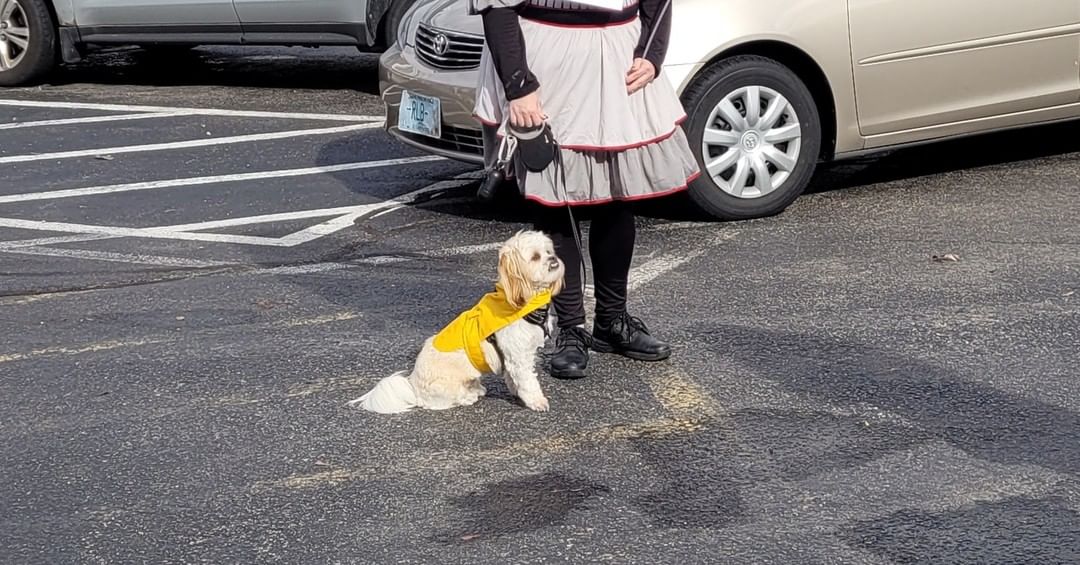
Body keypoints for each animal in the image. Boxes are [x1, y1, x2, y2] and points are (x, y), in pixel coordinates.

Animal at [347, 231, 570, 414]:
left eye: (548, 251)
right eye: (535, 257)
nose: (553, 259)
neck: (523, 300)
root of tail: (413, 386)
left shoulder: (512, 357)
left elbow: (512, 378)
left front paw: (516, 393)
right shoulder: (519, 356)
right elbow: (528, 381)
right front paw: (536, 402)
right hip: (448, 386)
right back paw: (469, 396)